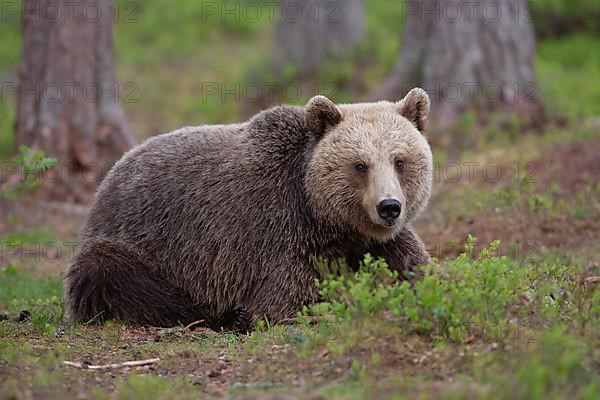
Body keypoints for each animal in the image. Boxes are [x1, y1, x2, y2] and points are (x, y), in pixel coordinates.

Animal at [64, 88, 432, 332]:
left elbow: (416, 269)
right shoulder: (281, 235)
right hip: (137, 243)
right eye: (360, 165)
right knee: (117, 276)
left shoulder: (377, 241)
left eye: (400, 160)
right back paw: (225, 315)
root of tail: (108, 179)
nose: (389, 207)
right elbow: (286, 303)